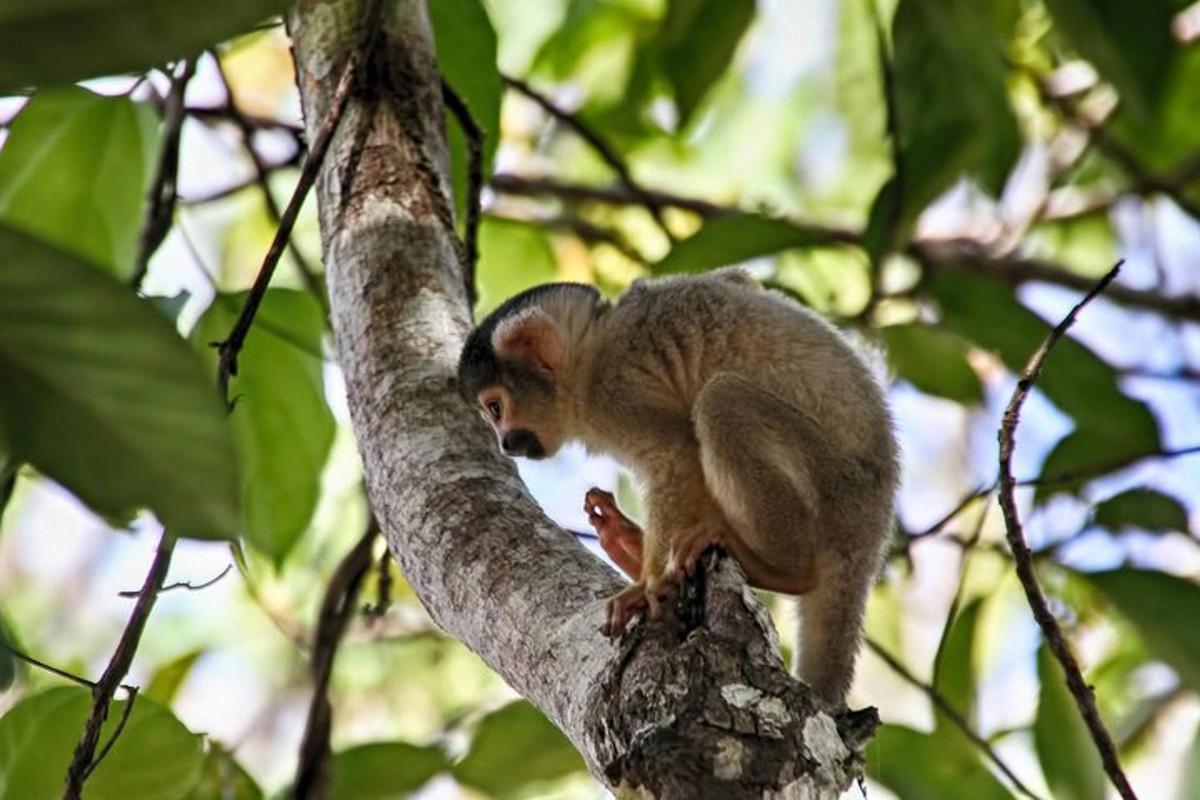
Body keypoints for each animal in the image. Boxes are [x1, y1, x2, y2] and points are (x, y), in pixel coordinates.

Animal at [453, 271, 897, 705]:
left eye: (496, 408)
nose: (504, 443)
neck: (588, 352)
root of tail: (871, 530)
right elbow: (740, 281)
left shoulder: (613, 393)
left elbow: (677, 454)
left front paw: (649, 586)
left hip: (835, 484)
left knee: (722, 401)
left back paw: (783, 570)